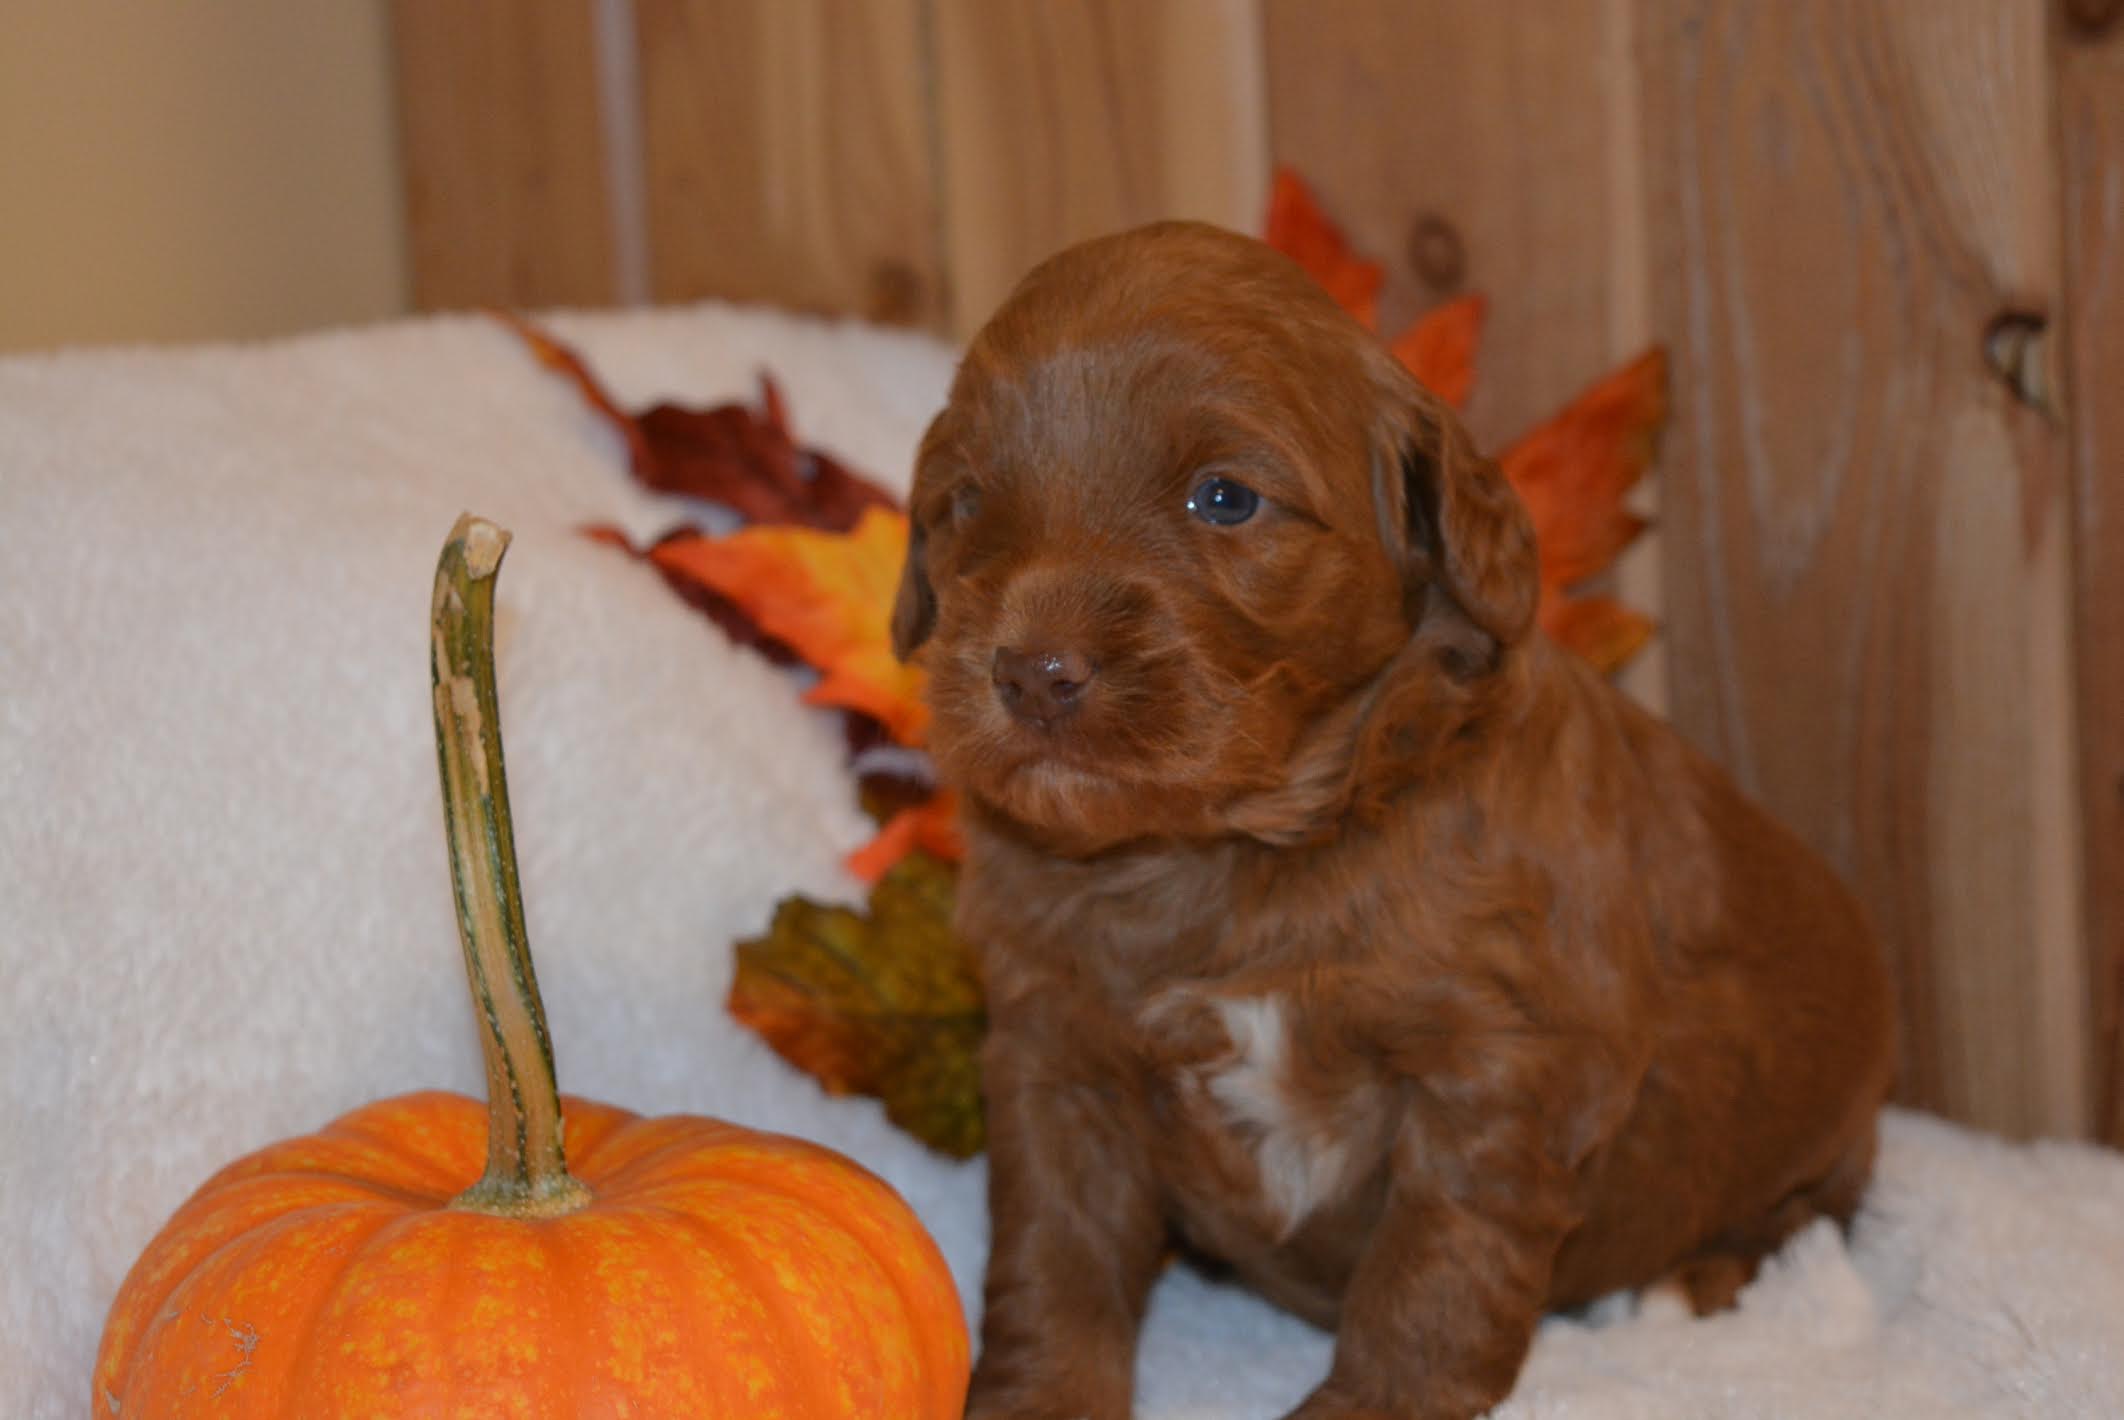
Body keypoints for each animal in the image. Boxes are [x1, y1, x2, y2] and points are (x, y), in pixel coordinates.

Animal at [892, 223, 1894, 1417]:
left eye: (1224, 499)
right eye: (964, 503)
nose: (1033, 673)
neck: (1228, 857)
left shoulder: (1497, 1072)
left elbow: (1431, 1275)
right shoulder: (1056, 1055)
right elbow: (1055, 1260)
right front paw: (1040, 1397)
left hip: (1823, 1130)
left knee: (1810, 1226)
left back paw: (1688, 1282)